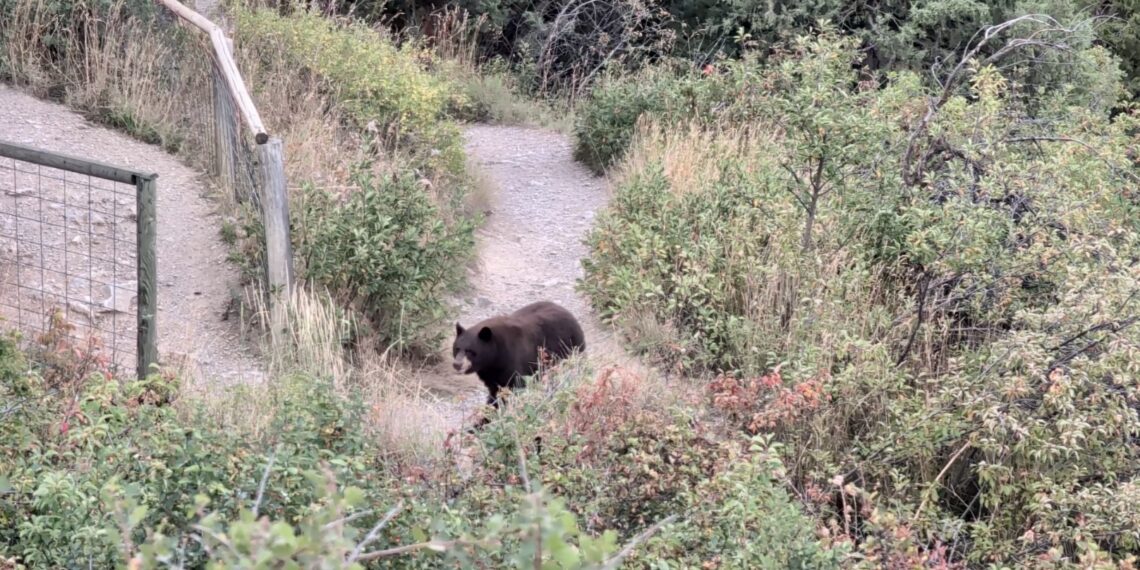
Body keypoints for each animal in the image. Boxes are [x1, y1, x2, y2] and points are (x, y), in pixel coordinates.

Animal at [452, 300, 586, 410]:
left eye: (470, 351)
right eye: (457, 349)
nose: (457, 364)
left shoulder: (511, 362)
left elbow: (514, 386)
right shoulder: (491, 374)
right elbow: (495, 392)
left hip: (570, 350)